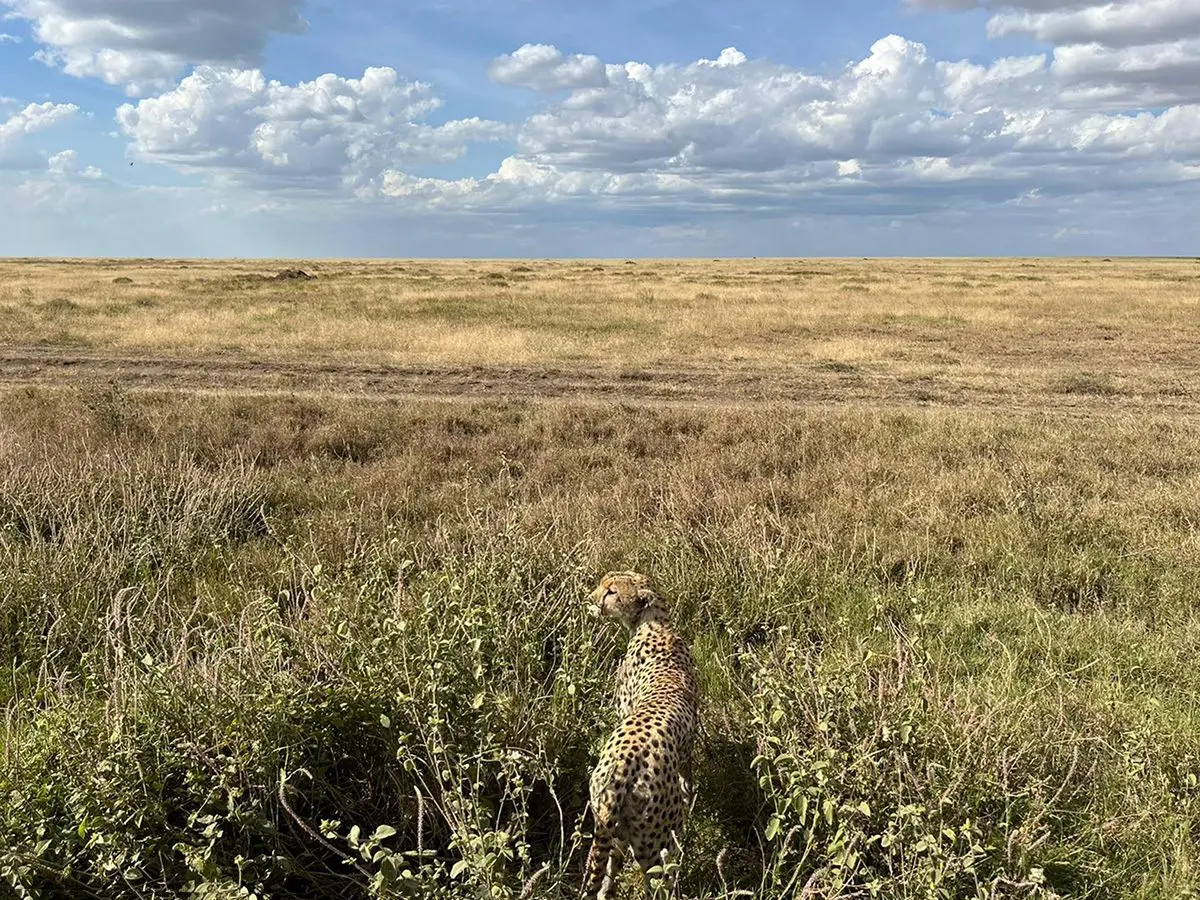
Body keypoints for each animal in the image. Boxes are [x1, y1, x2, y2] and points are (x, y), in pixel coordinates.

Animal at [582, 570, 699, 899]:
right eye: (602, 583)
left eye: (611, 591)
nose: (590, 600)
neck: (655, 623)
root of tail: (622, 769)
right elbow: (687, 773)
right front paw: (689, 792)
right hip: (630, 832)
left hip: (649, 841)